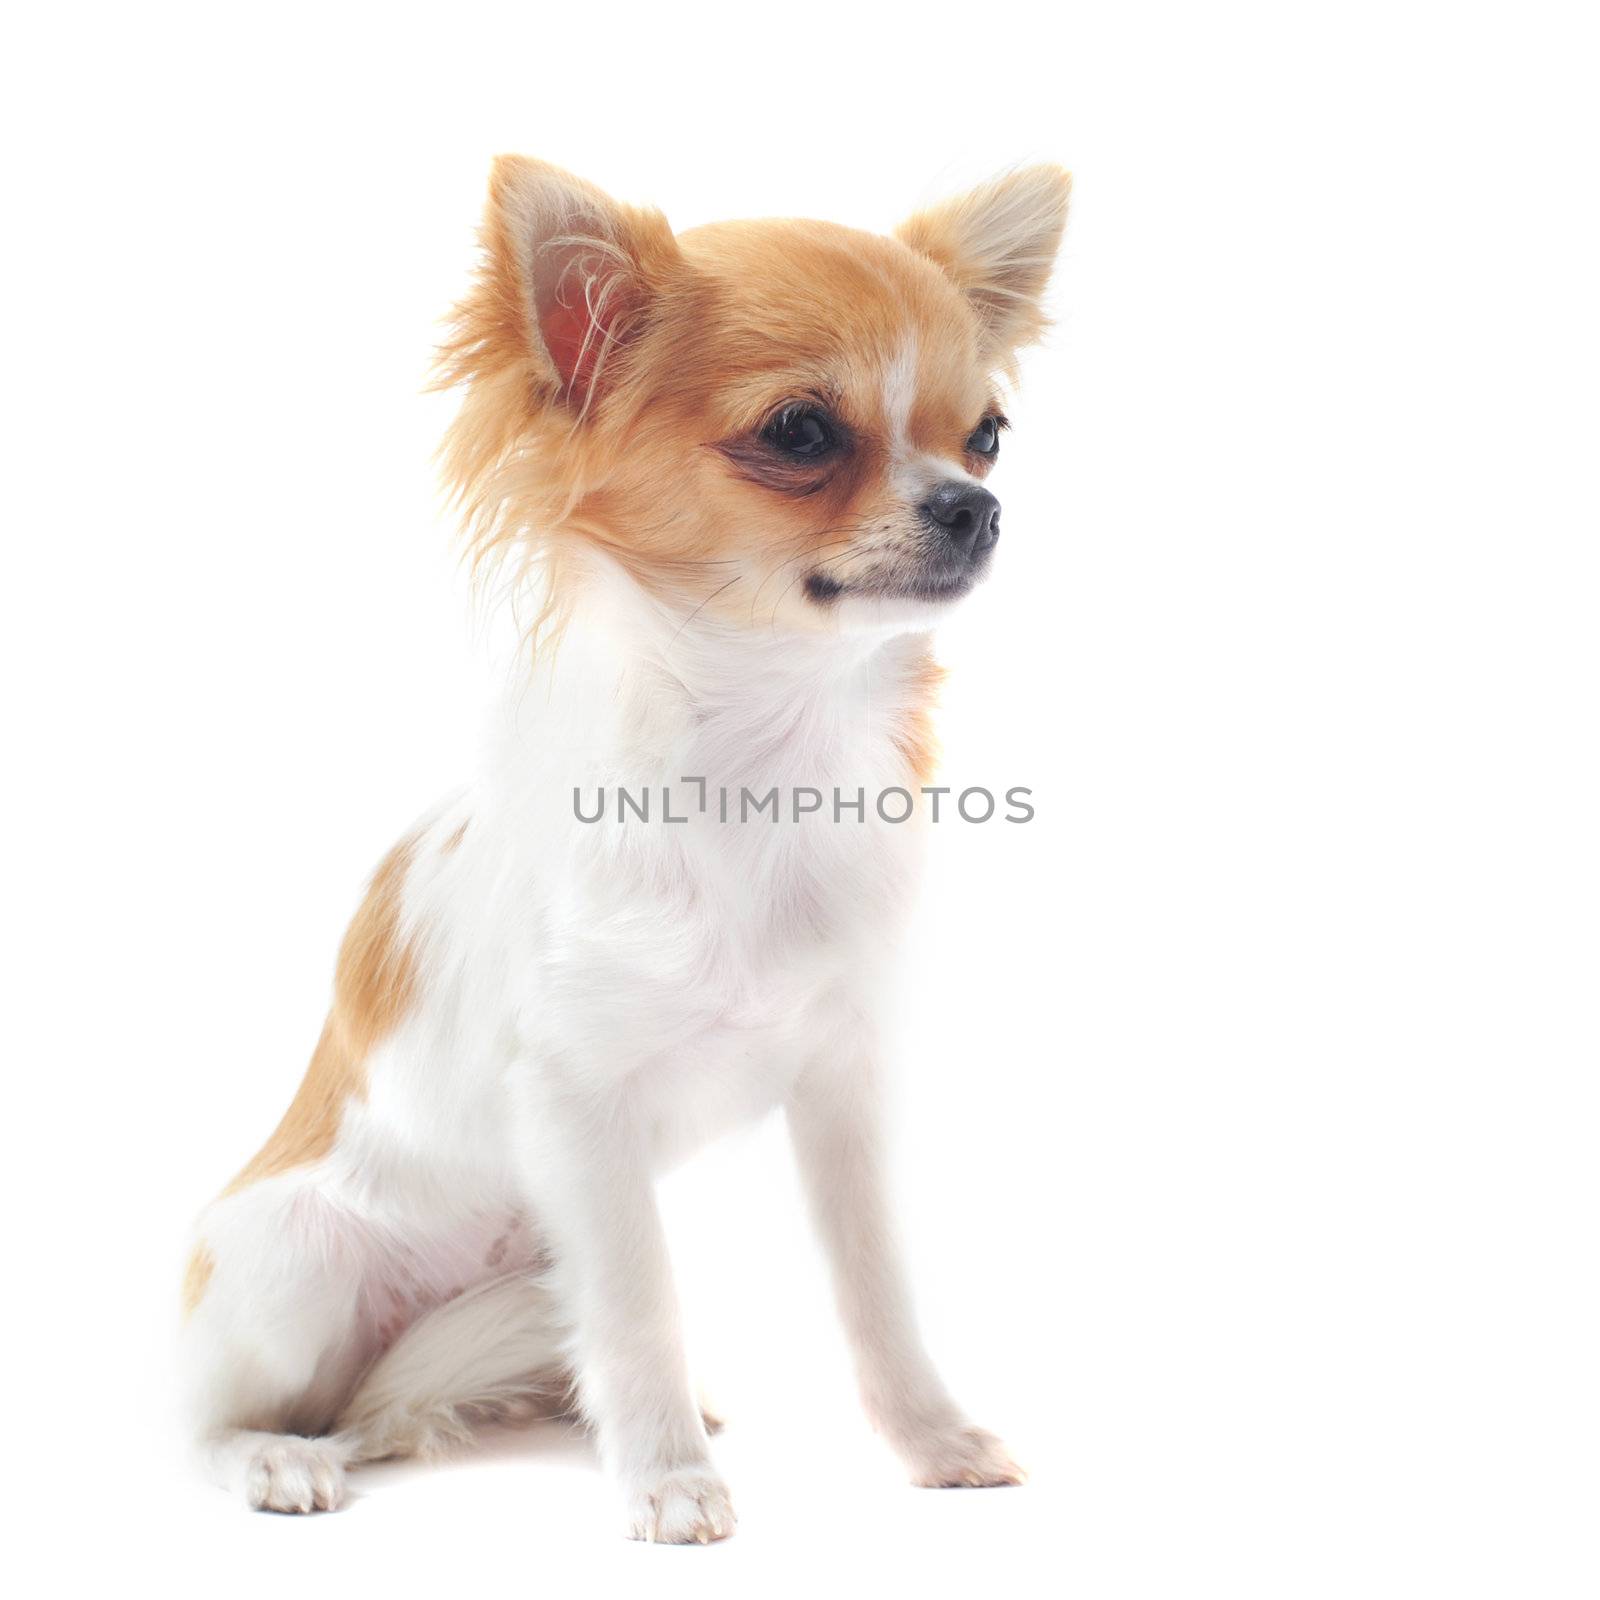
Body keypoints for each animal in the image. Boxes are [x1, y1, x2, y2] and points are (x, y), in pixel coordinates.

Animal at [181, 156, 1068, 1542]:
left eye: (987, 433)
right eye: (801, 432)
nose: (975, 505)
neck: (766, 764)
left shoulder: (843, 1090)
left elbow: (876, 1291)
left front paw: (929, 1440)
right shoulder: (578, 1110)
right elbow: (642, 1308)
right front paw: (667, 1483)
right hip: (292, 1259)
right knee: (213, 1420)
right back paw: (279, 1458)